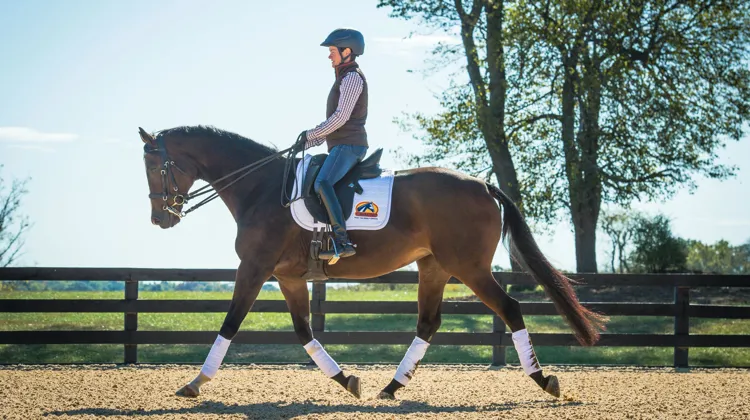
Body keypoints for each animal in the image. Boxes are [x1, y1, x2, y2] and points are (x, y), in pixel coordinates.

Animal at [138, 125, 607, 400]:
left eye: (154, 164)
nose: (161, 218)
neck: (262, 188)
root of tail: (482, 184)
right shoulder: (288, 277)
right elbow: (304, 332)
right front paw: (347, 380)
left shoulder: (254, 267)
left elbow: (230, 324)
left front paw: (194, 383)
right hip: (434, 268)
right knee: (428, 324)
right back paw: (391, 386)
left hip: (470, 268)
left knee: (509, 308)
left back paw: (544, 379)